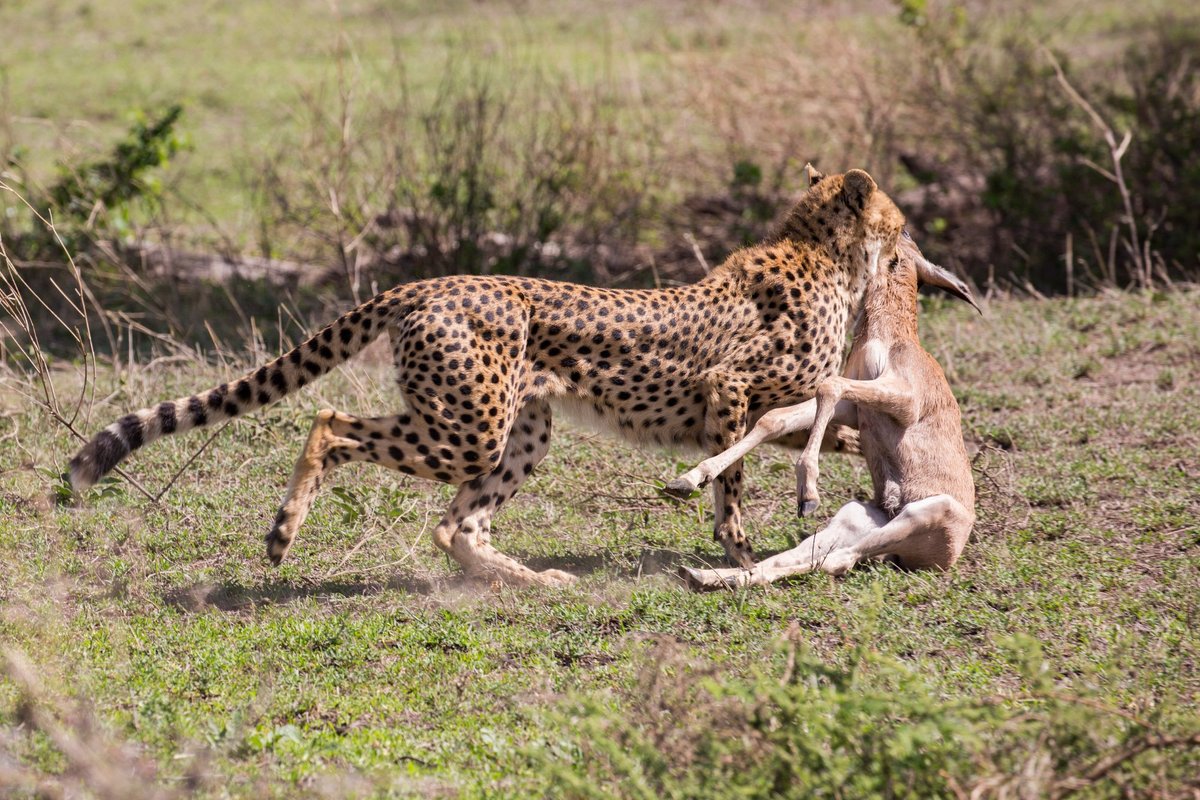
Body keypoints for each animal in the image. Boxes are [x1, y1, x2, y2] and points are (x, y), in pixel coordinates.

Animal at [70, 165, 902, 585]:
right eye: (895, 219)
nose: (910, 238)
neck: (823, 254)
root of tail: (433, 282)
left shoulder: (768, 405)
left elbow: (830, 438)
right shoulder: (728, 392)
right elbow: (730, 482)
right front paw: (742, 556)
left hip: (516, 431)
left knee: (456, 524)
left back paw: (535, 582)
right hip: (469, 430)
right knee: (331, 424)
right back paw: (282, 532)